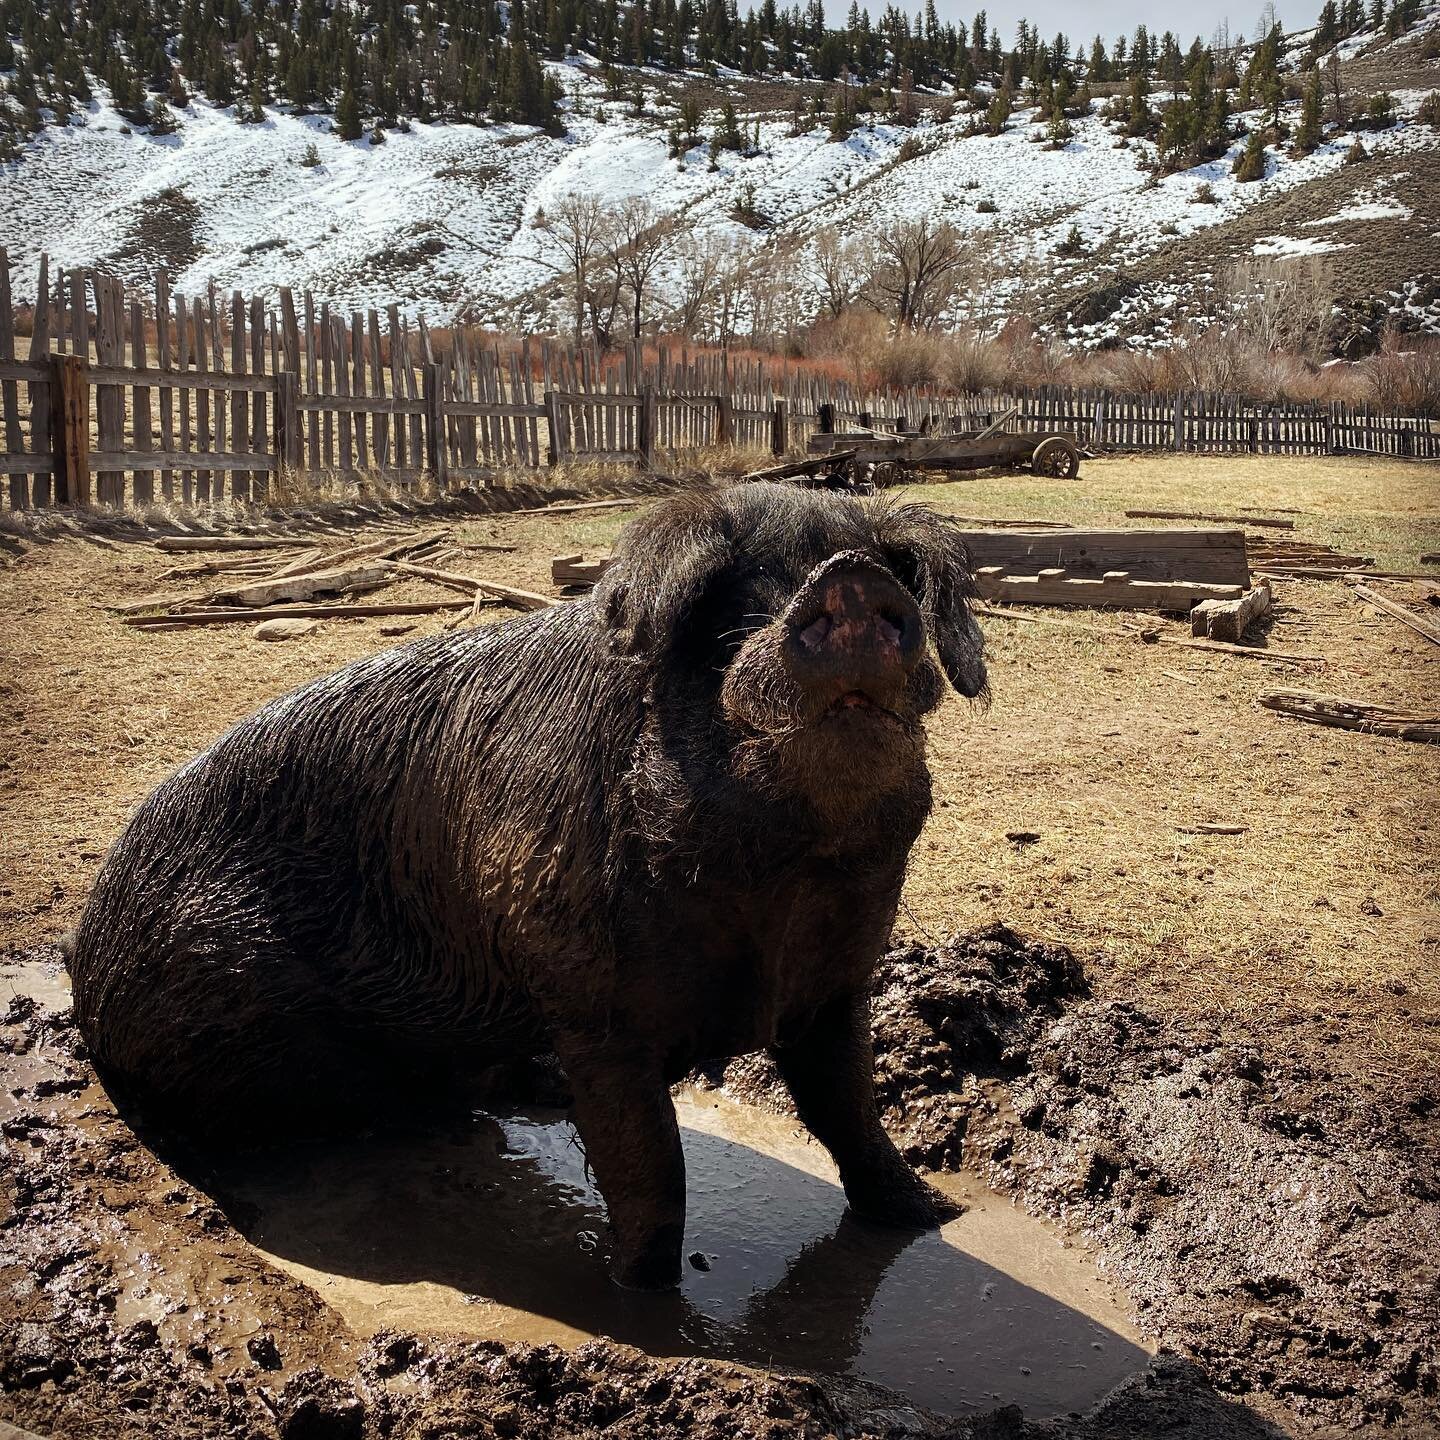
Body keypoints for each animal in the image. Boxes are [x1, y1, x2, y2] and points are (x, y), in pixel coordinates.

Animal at [68, 481, 987, 1289]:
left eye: (884, 568)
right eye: (734, 603)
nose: (851, 578)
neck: (781, 886)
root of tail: (86, 962)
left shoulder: (837, 982)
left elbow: (851, 1114)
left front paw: (932, 1218)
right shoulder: (589, 999)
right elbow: (650, 1163)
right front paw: (642, 1296)